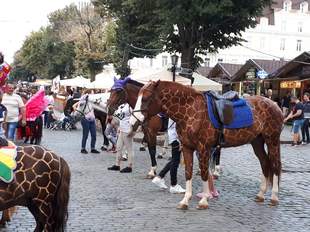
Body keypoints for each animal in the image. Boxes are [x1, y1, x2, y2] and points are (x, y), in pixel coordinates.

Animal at [130, 80, 282, 209]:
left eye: (145, 98)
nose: (133, 121)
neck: (189, 110)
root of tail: (275, 105)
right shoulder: (187, 147)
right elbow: (188, 172)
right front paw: (185, 200)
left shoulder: (203, 148)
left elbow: (203, 173)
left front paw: (204, 200)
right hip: (257, 141)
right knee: (264, 163)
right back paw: (261, 194)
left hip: (272, 140)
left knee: (275, 166)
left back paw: (274, 197)